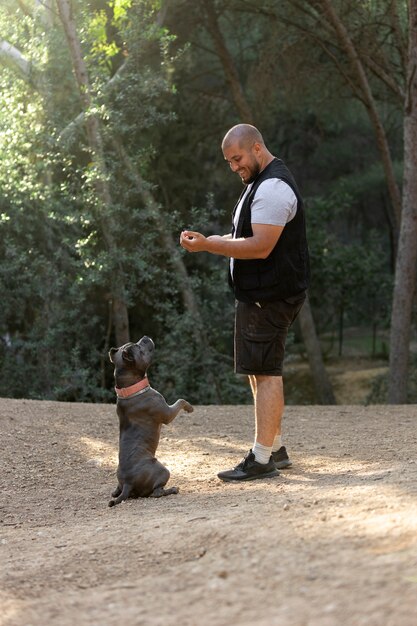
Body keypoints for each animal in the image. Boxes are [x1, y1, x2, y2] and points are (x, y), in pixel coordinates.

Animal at [107, 334, 192, 504]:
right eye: (138, 347)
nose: (145, 337)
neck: (130, 388)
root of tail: (128, 483)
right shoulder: (167, 413)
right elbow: (180, 401)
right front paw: (189, 407)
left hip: (121, 484)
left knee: (115, 492)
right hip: (162, 470)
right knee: (156, 492)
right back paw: (173, 489)